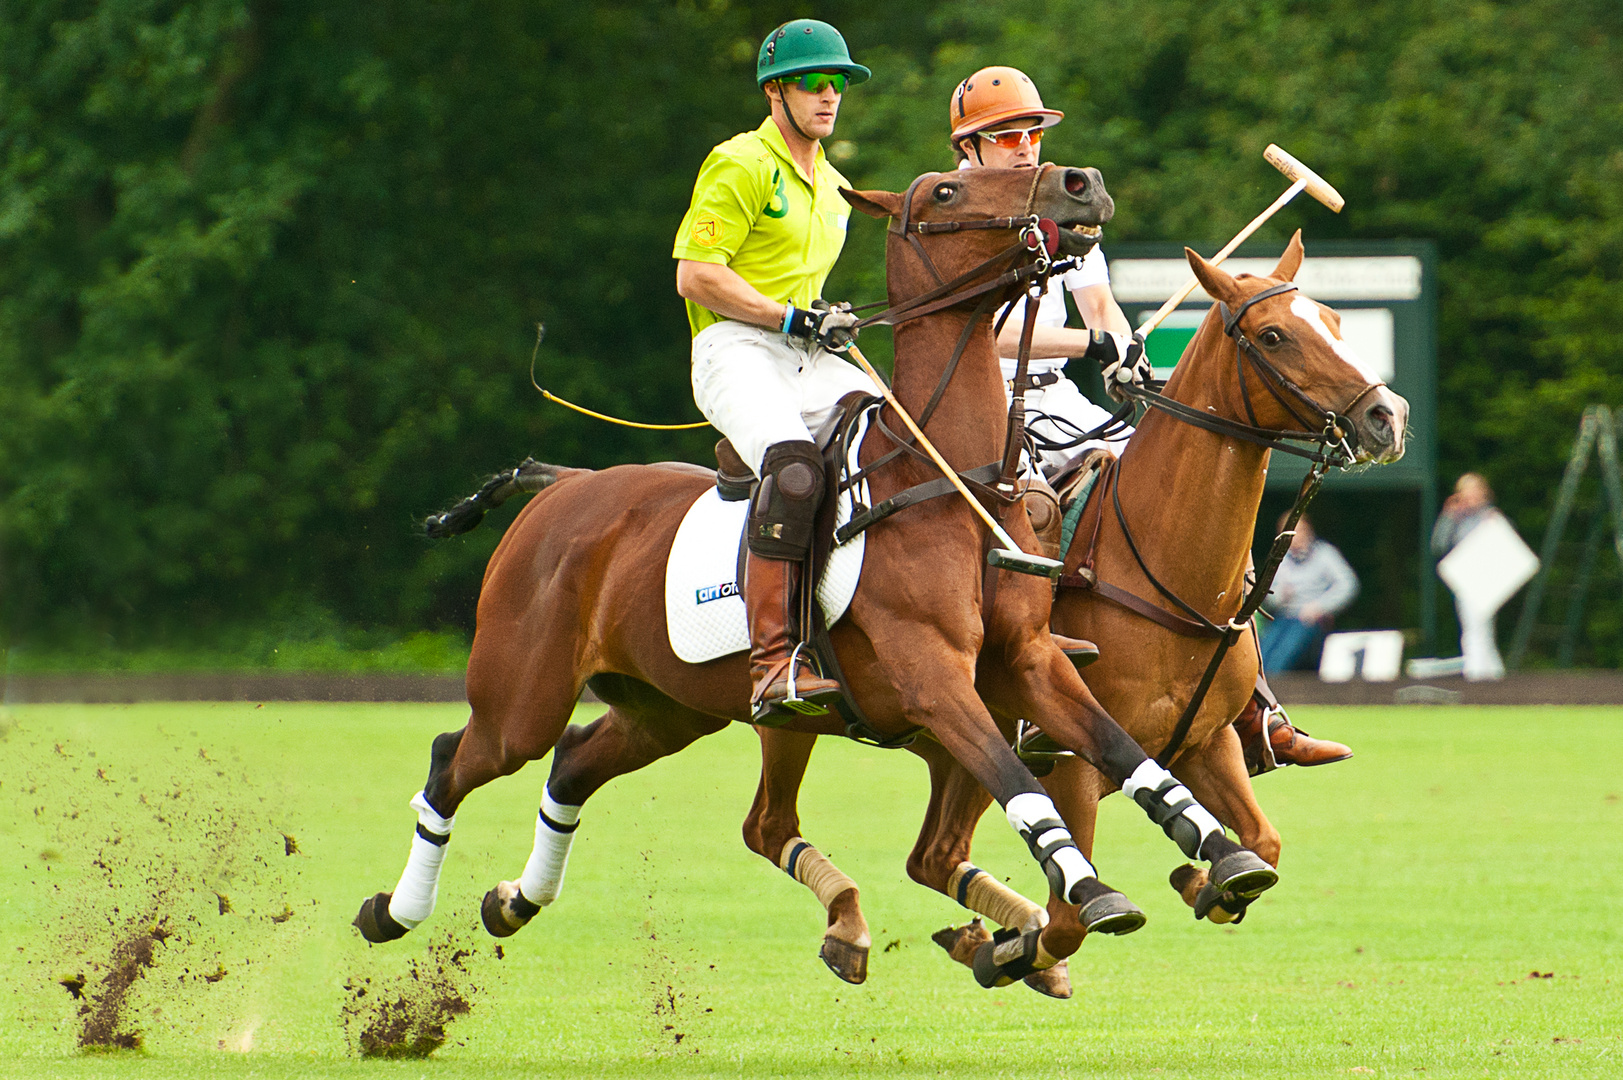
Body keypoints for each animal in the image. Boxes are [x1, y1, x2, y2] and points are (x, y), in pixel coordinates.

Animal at [355, 162, 1278, 987]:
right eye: (945, 189)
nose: (1080, 185)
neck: (948, 478)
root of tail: (563, 485)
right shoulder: (934, 675)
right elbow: (1024, 785)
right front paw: (1088, 893)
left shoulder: (1029, 659)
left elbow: (1125, 752)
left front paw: (1221, 857)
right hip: (524, 692)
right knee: (456, 756)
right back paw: (393, 910)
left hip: (667, 706)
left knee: (576, 762)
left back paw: (512, 901)